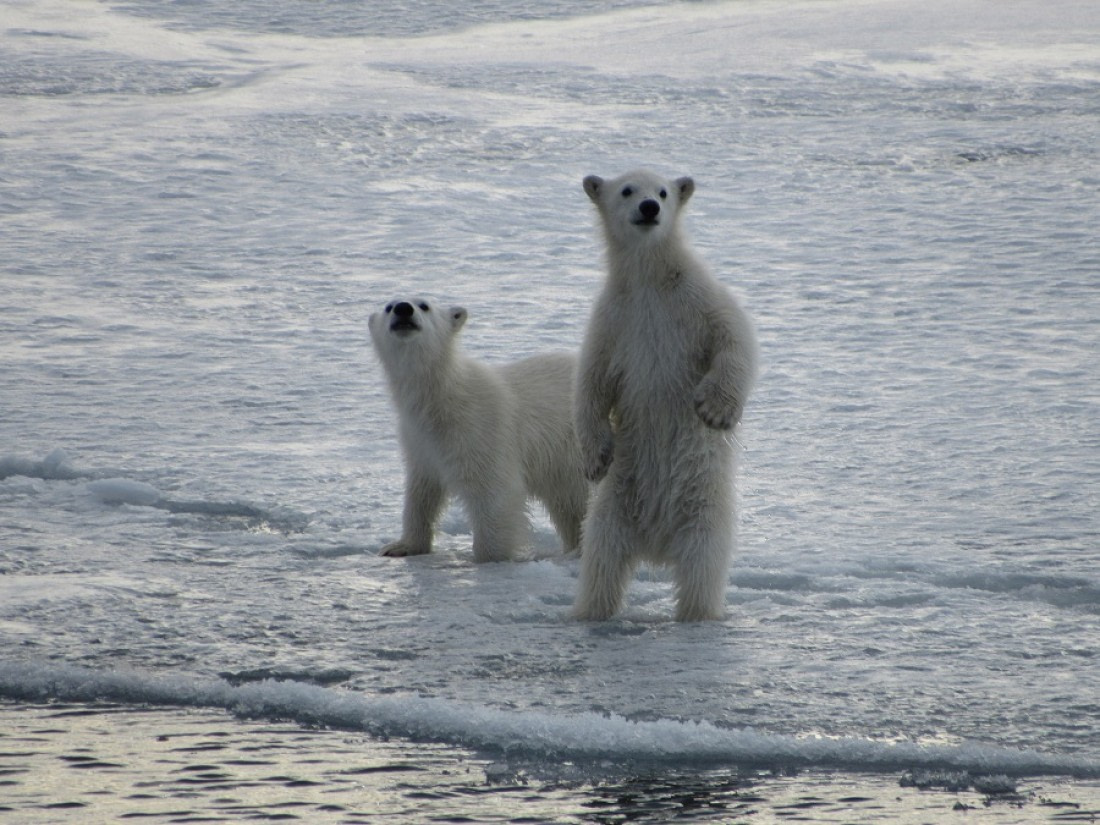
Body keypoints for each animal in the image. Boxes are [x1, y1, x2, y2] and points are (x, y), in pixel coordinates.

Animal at [367, 301, 594, 567]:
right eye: (388, 306)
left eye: (424, 305)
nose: (403, 309)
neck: (441, 400)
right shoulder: (419, 440)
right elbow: (422, 490)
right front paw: (400, 546)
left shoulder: (481, 428)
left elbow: (493, 491)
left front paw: (488, 560)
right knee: (568, 503)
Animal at [576, 169, 756, 620]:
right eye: (627, 190)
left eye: (662, 191)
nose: (649, 208)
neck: (649, 280)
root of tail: (656, 545)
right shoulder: (614, 319)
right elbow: (590, 382)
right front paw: (594, 458)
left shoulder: (695, 298)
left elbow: (734, 337)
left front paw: (715, 410)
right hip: (615, 504)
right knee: (601, 560)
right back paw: (587, 612)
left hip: (704, 510)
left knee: (702, 569)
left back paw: (698, 614)